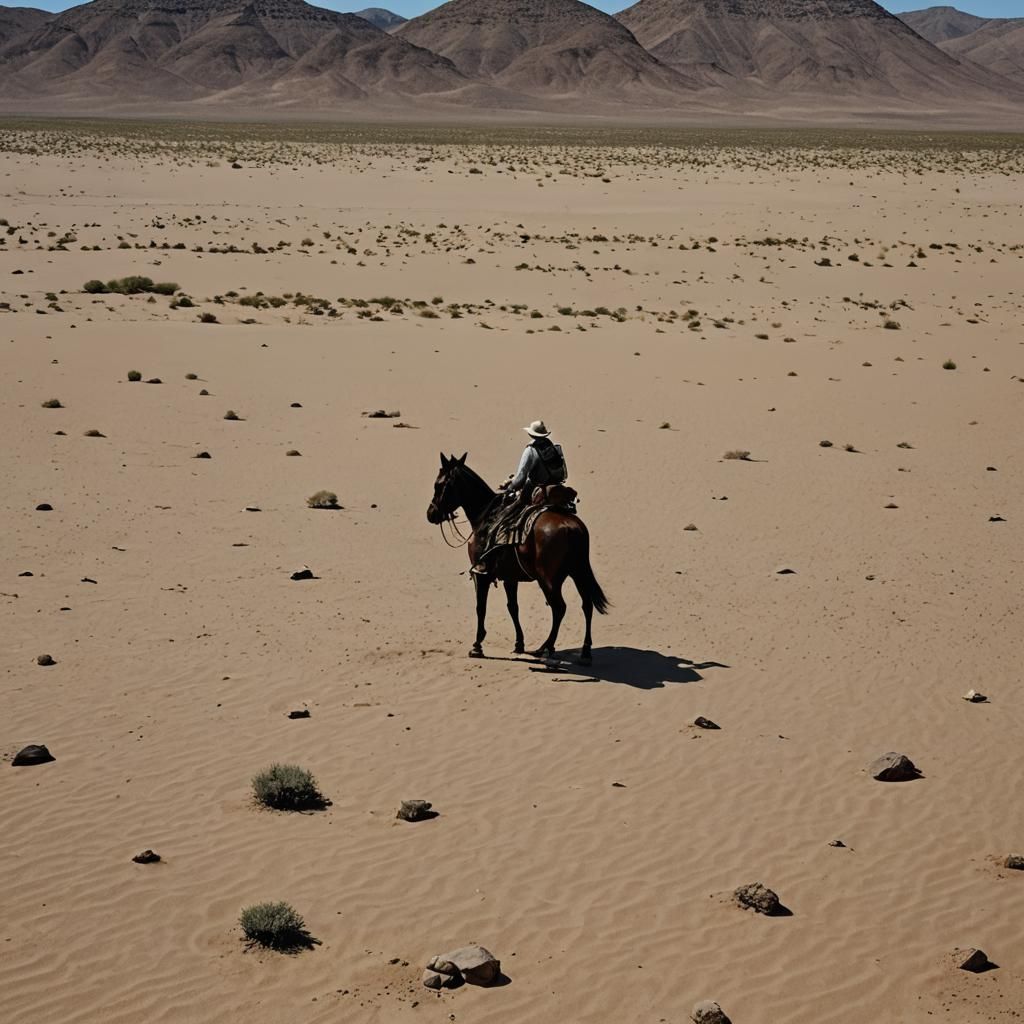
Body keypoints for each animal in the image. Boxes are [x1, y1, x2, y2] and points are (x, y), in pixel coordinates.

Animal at [426, 452, 609, 663]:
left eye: (438, 485)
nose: (430, 514)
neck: (484, 515)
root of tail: (571, 528)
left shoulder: (480, 574)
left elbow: (481, 607)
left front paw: (477, 645)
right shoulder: (510, 577)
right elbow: (513, 607)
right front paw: (518, 644)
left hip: (548, 579)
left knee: (559, 608)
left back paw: (546, 648)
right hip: (578, 572)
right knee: (586, 605)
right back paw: (585, 652)